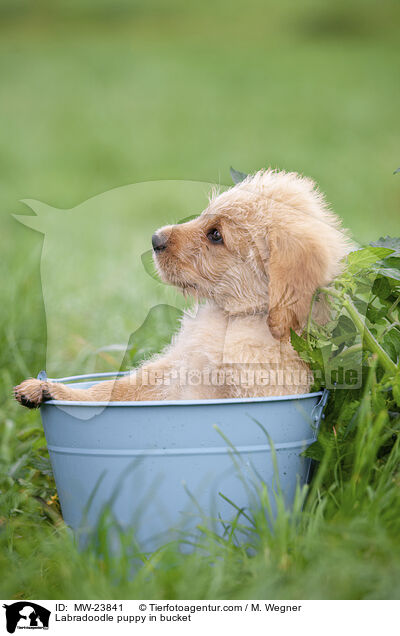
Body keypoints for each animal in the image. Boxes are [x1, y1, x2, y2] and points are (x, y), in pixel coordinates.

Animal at [14, 169, 350, 408]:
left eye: (216, 235)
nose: (155, 239)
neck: (233, 318)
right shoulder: (171, 371)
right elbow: (111, 389)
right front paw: (49, 388)